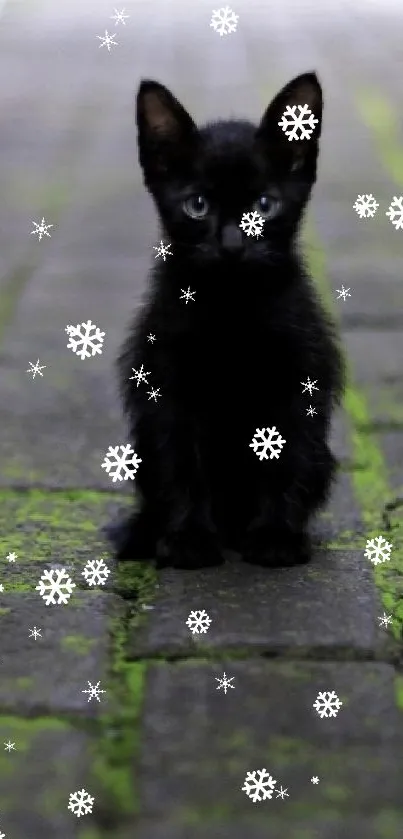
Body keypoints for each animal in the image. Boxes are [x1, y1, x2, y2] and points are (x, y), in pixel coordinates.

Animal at [109, 72, 344, 572]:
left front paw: (276, 536)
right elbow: (181, 463)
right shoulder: (166, 382)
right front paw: (189, 538)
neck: (232, 308)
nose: (234, 245)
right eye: (197, 205)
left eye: (265, 205)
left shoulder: (299, 375)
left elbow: (285, 457)